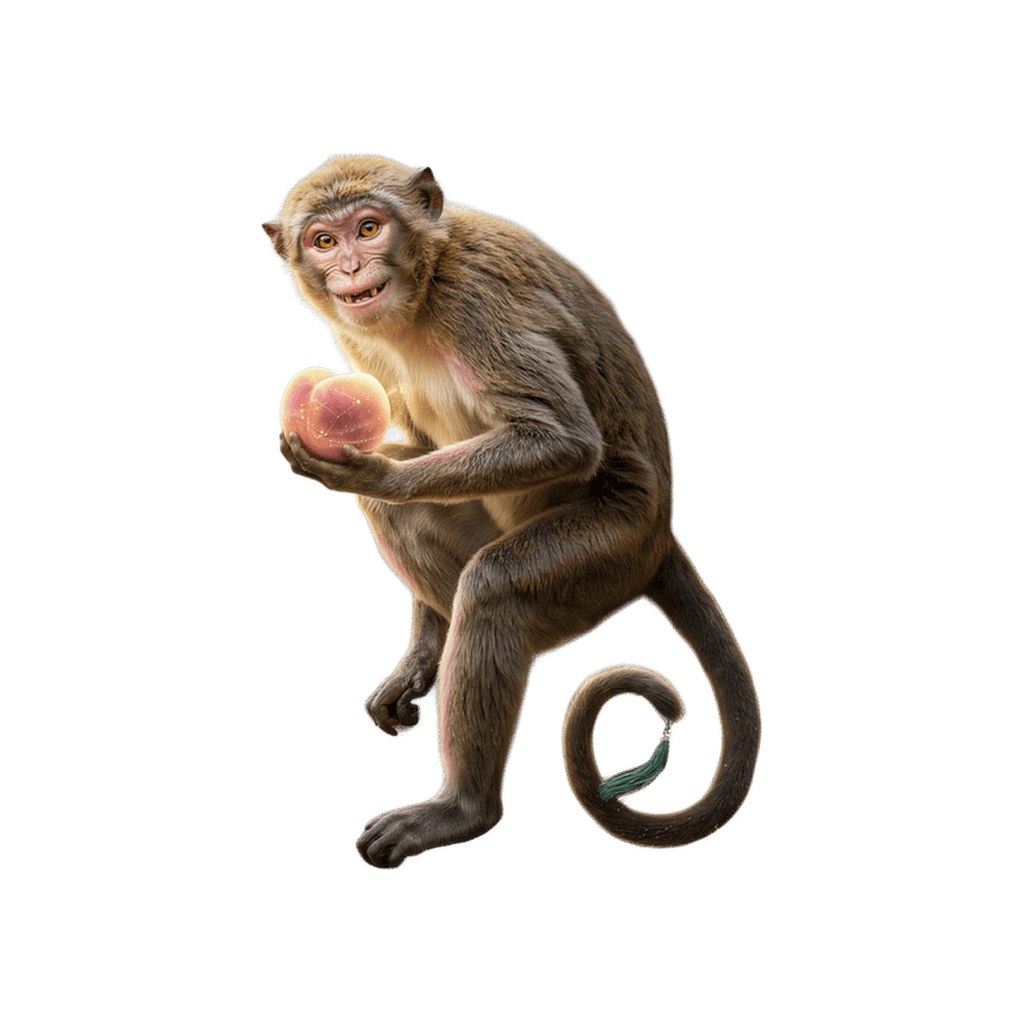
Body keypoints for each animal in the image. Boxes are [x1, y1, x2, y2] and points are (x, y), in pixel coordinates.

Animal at [262, 154, 760, 869]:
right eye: (324, 241)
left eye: (369, 227)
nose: (352, 268)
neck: (425, 286)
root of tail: (662, 532)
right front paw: (422, 653)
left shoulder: (476, 300)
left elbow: (562, 439)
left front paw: (378, 473)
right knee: (412, 525)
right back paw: (442, 649)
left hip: (610, 549)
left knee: (495, 584)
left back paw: (464, 808)